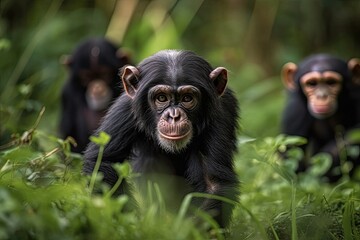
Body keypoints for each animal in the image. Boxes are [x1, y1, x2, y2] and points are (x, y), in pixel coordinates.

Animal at [83, 49, 240, 227]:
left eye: (187, 98)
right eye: (162, 98)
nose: (174, 116)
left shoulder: (219, 113)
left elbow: (213, 184)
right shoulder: (125, 109)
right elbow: (104, 162)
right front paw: (130, 224)